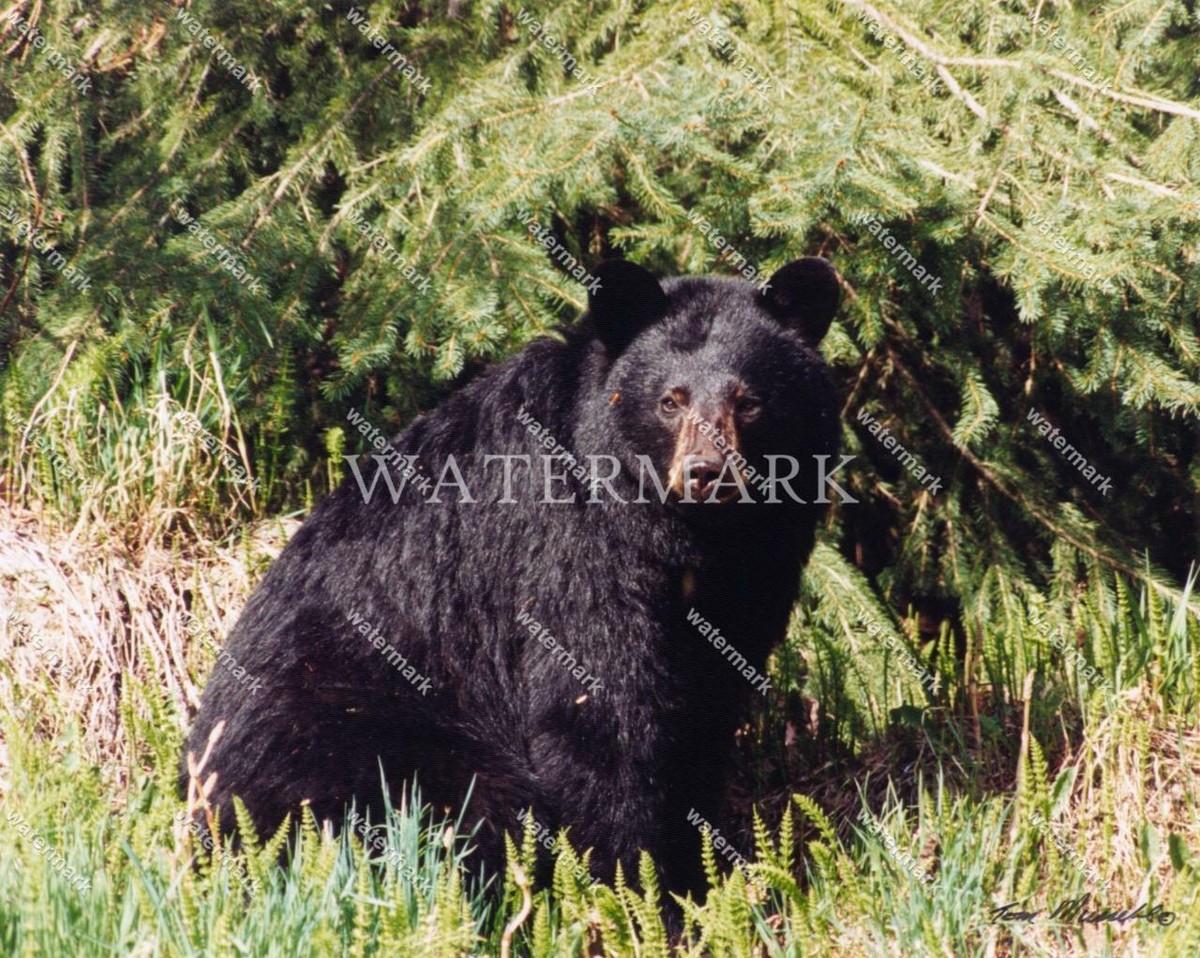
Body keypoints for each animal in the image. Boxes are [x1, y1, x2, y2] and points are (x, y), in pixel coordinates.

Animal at [181, 256, 844, 901]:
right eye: (670, 400)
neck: (681, 535)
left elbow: (706, 704)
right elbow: (594, 706)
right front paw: (637, 888)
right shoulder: (568, 547)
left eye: (749, 401)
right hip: (352, 733)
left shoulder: (750, 575)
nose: (707, 472)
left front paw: (704, 874)